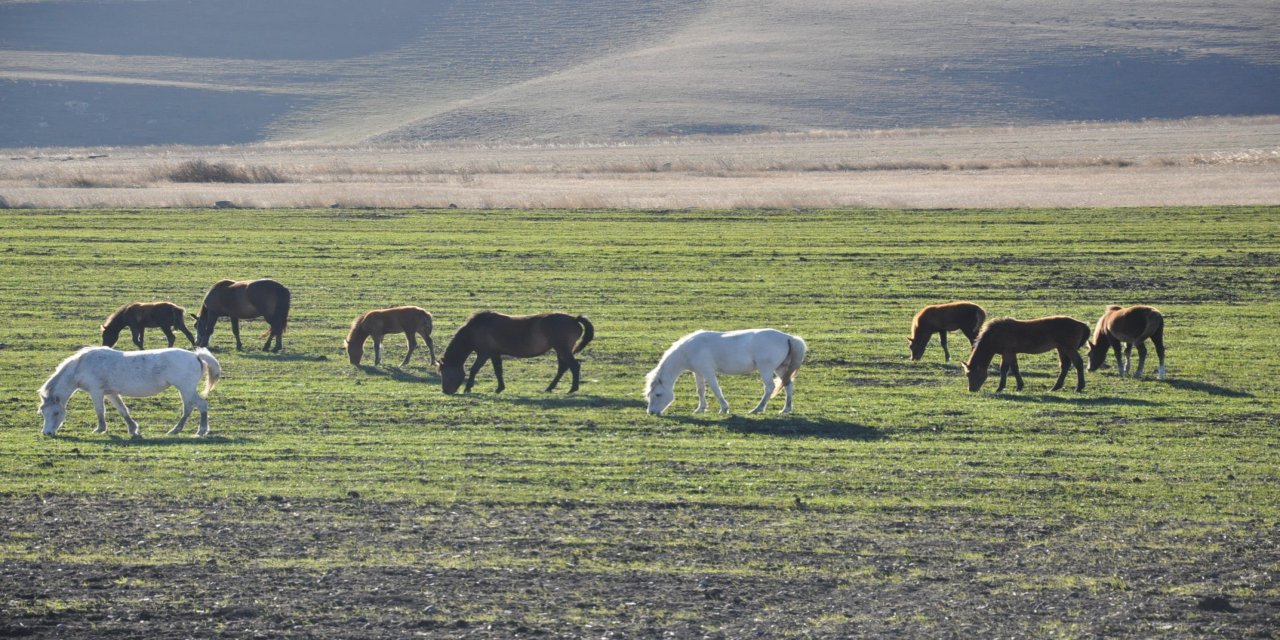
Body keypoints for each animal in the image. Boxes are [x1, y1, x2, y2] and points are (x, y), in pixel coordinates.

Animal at [36, 345, 222, 440]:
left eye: (56, 412)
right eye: (42, 413)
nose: (47, 433)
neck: (81, 366)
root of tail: (195, 356)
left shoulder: (97, 392)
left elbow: (100, 411)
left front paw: (100, 429)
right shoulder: (110, 392)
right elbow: (122, 410)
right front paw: (133, 429)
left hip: (186, 388)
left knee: (200, 405)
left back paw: (199, 431)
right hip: (185, 390)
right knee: (190, 408)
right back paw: (177, 430)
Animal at [437, 311, 591, 394]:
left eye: (446, 373)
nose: (445, 391)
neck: (475, 329)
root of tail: (574, 320)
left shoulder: (484, 353)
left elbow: (475, 369)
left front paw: (468, 388)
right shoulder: (494, 354)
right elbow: (498, 370)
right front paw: (500, 388)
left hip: (563, 349)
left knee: (574, 366)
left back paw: (572, 389)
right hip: (561, 350)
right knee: (563, 368)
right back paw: (550, 387)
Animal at [645, 330, 803, 414]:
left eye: (658, 394)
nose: (651, 412)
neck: (689, 349)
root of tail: (788, 337)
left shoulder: (708, 372)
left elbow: (715, 389)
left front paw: (724, 408)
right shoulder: (698, 372)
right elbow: (700, 390)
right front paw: (700, 409)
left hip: (766, 369)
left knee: (769, 388)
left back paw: (758, 409)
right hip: (781, 369)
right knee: (788, 385)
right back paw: (786, 409)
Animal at [962, 316, 1090, 391]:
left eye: (973, 375)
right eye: (967, 375)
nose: (971, 389)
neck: (994, 335)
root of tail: (1082, 324)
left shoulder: (1007, 352)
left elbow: (1004, 369)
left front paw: (1000, 387)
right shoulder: (1011, 352)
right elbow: (1015, 368)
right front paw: (1019, 386)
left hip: (1068, 348)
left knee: (1078, 363)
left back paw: (1079, 387)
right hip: (1061, 348)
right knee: (1065, 366)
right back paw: (1055, 387)